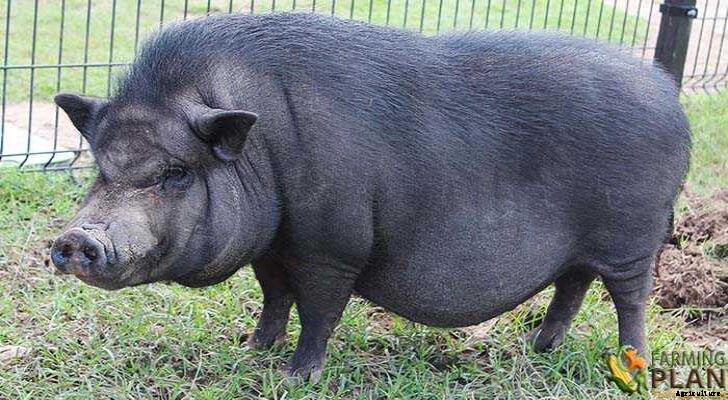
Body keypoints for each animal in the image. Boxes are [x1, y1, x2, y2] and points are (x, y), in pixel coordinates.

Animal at [51, 12, 690, 381]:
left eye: (176, 173)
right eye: (101, 168)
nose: (76, 239)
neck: (265, 148)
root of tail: (671, 99)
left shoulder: (332, 247)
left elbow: (319, 311)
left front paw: (294, 378)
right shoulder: (273, 248)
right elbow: (274, 299)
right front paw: (254, 350)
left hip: (634, 235)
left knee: (629, 300)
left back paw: (632, 366)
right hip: (583, 247)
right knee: (572, 286)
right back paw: (540, 349)